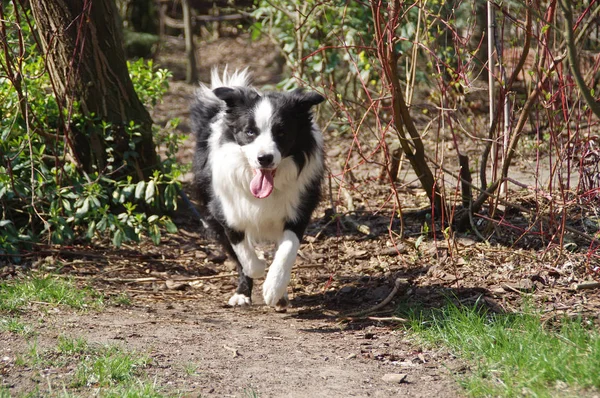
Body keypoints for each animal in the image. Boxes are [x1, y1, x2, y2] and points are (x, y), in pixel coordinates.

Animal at [191, 69, 324, 310]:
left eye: (282, 133)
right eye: (249, 132)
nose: (265, 158)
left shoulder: (299, 210)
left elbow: (287, 249)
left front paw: (274, 288)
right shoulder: (225, 210)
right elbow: (243, 254)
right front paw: (259, 268)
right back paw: (242, 294)